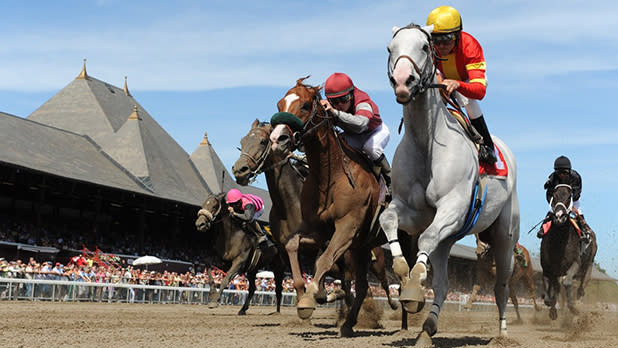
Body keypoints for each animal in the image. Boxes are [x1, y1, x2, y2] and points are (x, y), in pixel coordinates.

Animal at [231, 120, 400, 312]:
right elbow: (297, 269)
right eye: (243, 141)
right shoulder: (285, 248)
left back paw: (393, 304)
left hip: (375, 261)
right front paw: (308, 298)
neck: (288, 206)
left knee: (383, 282)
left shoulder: (321, 241)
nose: (239, 170)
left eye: (262, 141)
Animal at [270, 77, 384, 338]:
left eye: (304, 106)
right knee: (363, 286)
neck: (331, 175)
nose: (277, 140)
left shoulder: (347, 227)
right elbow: (293, 245)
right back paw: (348, 325)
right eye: (280, 103)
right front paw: (307, 295)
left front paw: (310, 298)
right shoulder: (318, 230)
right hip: (363, 249)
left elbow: (325, 260)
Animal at [378, 23, 516, 346]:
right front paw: (403, 272)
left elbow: (426, 238)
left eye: (423, 46)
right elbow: (388, 218)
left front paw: (414, 283)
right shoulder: (413, 211)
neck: (427, 143)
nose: (403, 81)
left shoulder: (452, 207)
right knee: (442, 283)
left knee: (501, 285)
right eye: (390, 48)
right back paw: (428, 327)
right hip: (450, 239)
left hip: (504, 235)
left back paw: (503, 332)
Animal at [536, 184, 596, 320]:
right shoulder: (548, 268)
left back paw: (577, 300)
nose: (559, 216)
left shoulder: (575, 263)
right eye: (554, 195)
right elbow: (550, 293)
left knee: (581, 286)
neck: (559, 242)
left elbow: (567, 282)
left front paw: (574, 308)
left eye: (569, 197)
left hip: (588, 265)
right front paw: (552, 309)